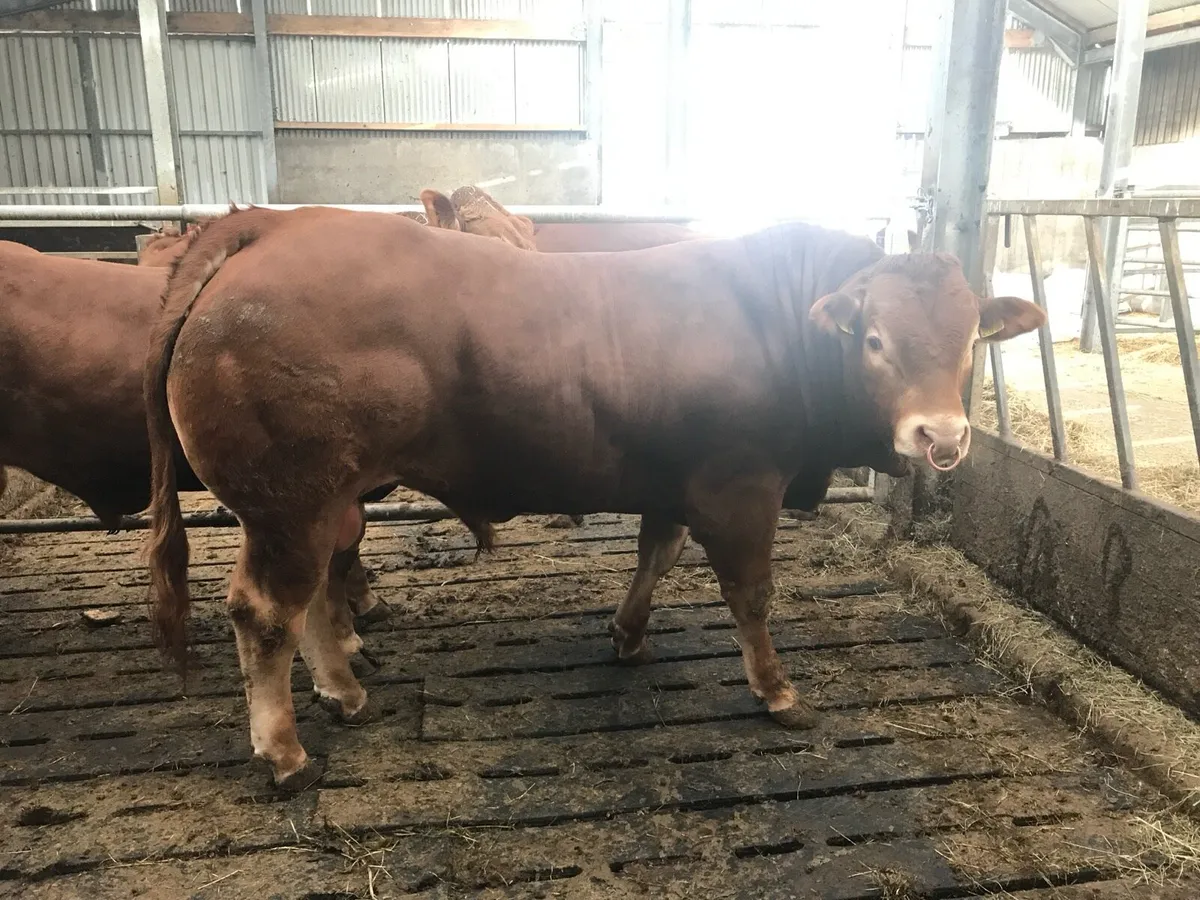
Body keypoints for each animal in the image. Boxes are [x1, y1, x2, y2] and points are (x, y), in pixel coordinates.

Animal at [142, 205, 1043, 789]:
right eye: (876, 339)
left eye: (971, 339)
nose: (941, 436)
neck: (779, 323)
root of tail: (274, 228)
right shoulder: (741, 486)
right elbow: (750, 593)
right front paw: (777, 690)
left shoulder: (674, 481)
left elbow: (657, 554)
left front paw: (628, 634)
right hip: (287, 502)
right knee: (267, 611)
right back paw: (284, 751)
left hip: (330, 499)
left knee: (320, 597)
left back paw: (344, 691)